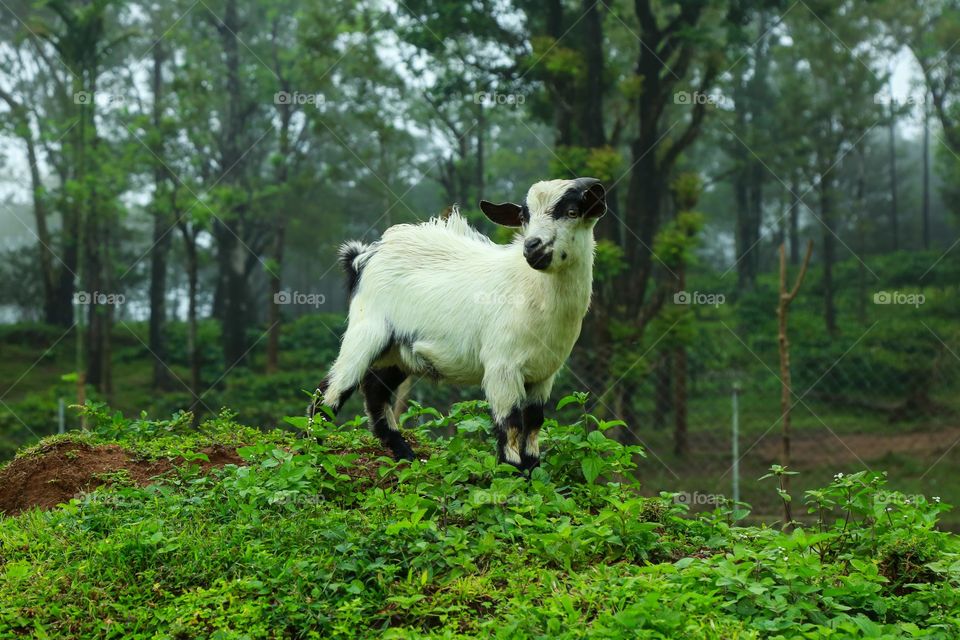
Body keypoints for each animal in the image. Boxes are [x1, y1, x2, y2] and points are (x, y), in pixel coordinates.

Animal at [307, 177, 606, 470]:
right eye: (524, 216)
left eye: (572, 212)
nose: (532, 247)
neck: (532, 290)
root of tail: (362, 258)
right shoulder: (502, 368)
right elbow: (510, 426)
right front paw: (511, 474)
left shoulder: (544, 375)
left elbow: (533, 424)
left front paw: (533, 473)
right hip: (366, 332)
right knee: (330, 392)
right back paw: (314, 453)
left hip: (397, 352)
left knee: (375, 390)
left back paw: (406, 455)